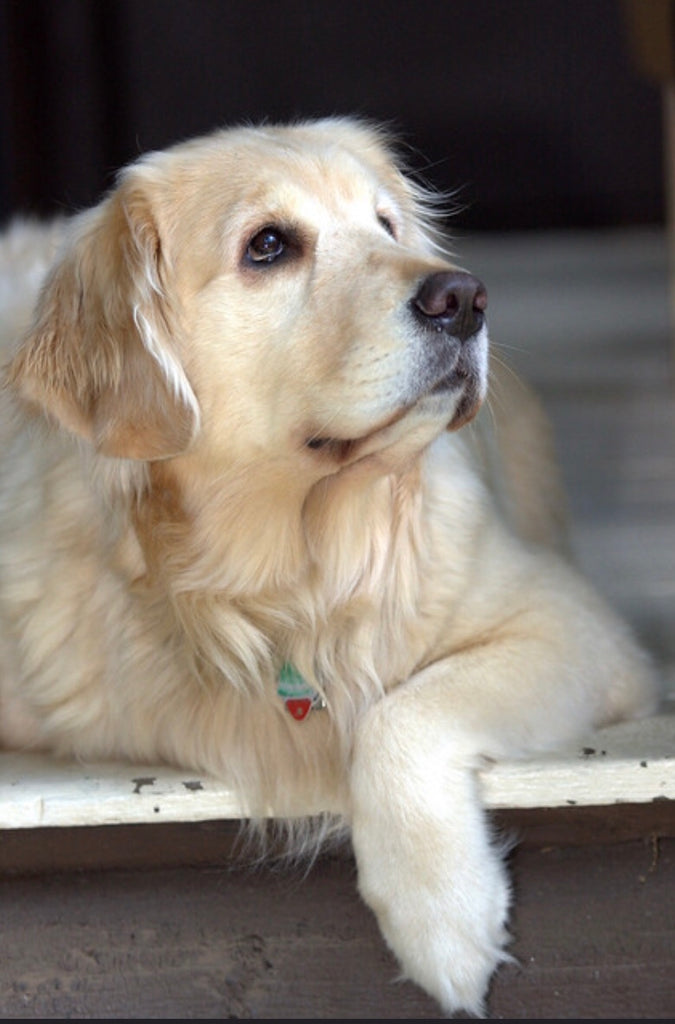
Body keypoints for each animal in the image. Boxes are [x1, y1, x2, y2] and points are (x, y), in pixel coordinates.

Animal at [0, 117, 659, 1007]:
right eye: (268, 245)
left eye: (386, 226)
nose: (463, 298)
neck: (287, 581)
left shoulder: (574, 628)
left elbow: (398, 714)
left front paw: (443, 914)